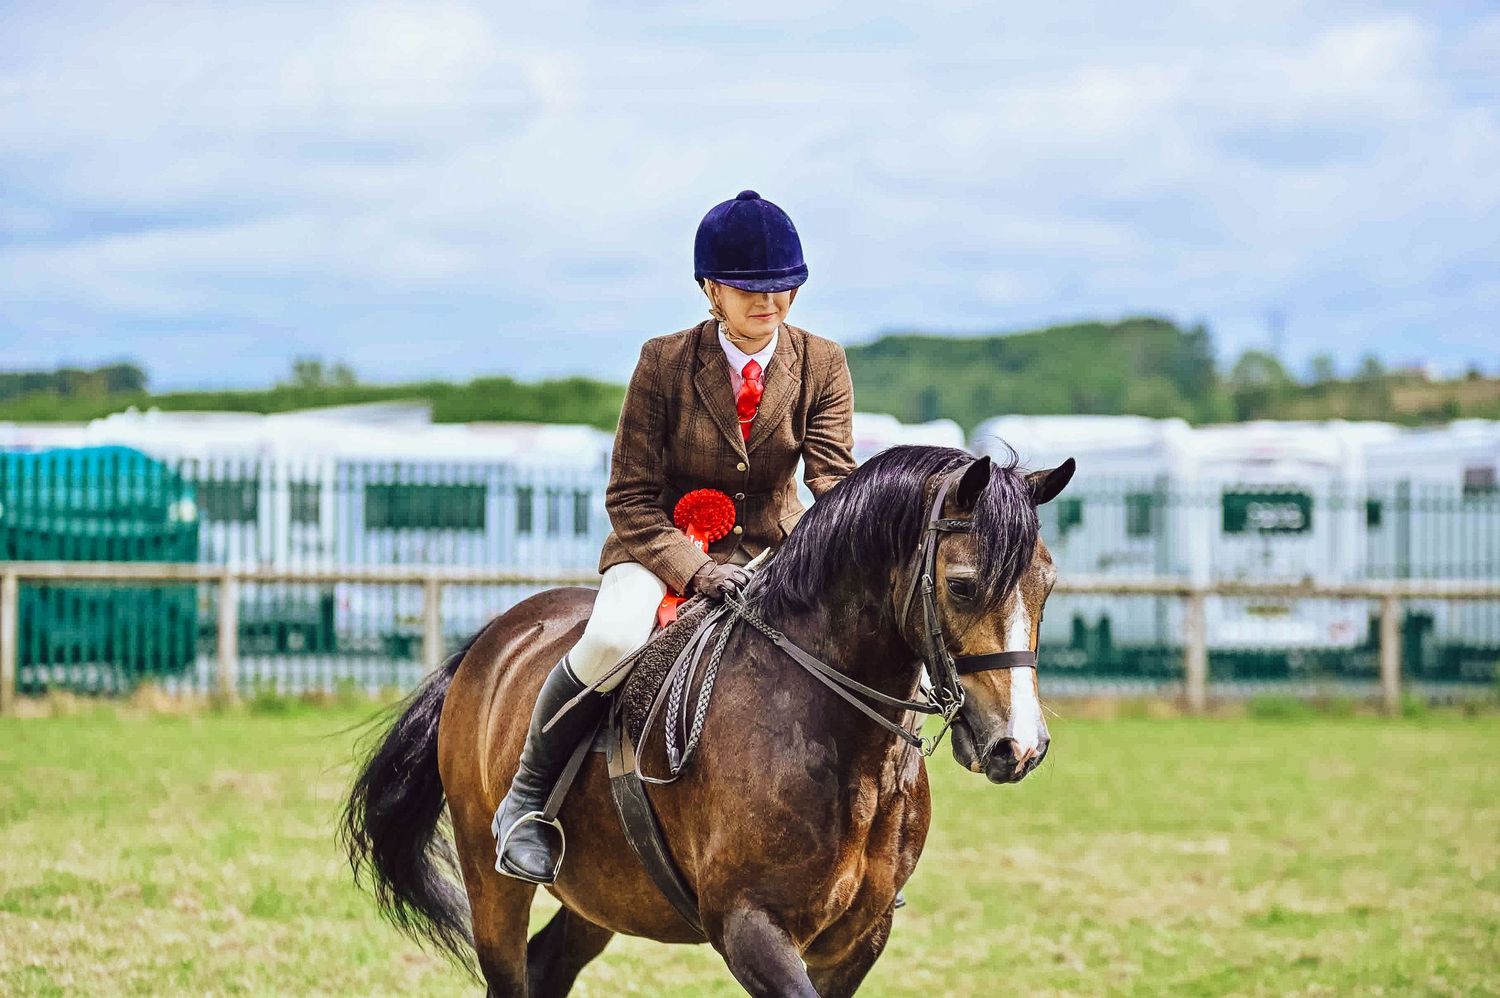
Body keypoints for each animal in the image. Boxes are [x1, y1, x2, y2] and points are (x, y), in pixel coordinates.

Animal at [342, 444, 1075, 996]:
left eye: (1047, 584)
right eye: (961, 585)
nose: (1019, 746)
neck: (842, 744)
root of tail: (494, 637)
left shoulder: (858, 939)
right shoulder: (749, 926)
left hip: (604, 890)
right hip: (491, 877)